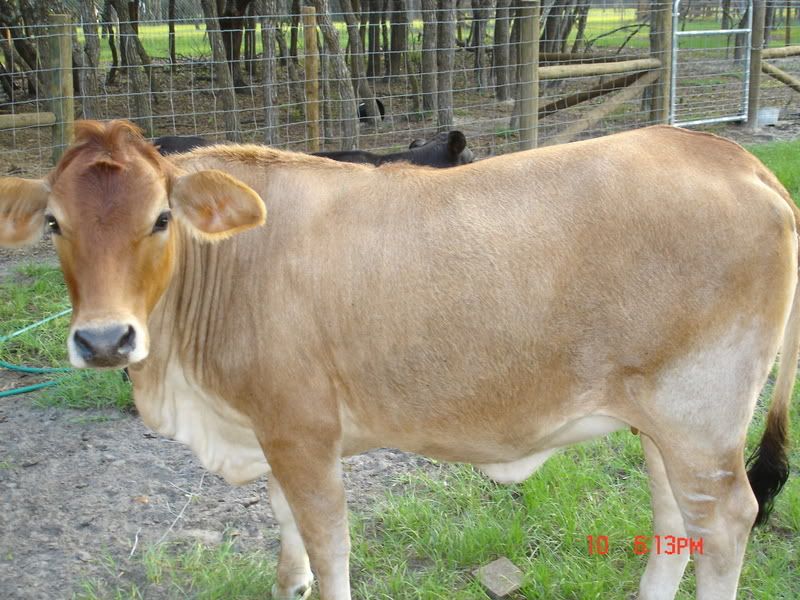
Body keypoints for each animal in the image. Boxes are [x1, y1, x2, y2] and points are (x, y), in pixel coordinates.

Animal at [0, 120, 796, 600]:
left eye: (161, 218)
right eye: (54, 224)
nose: (105, 340)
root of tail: (733, 157)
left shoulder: (302, 431)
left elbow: (328, 548)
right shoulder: (271, 428)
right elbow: (288, 531)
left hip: (700, 420)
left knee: (728, 522)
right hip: (662, 425)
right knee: (675, 525)